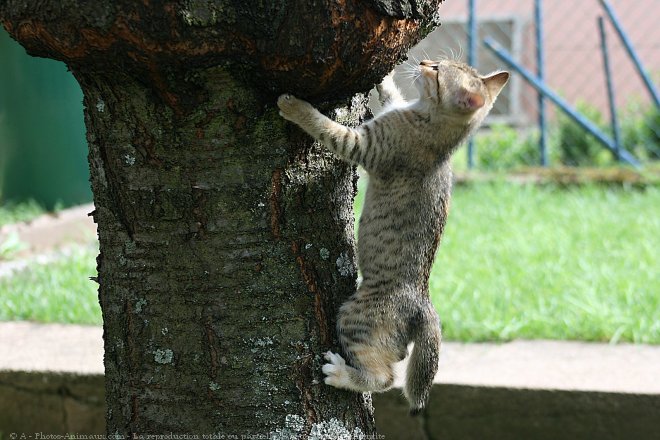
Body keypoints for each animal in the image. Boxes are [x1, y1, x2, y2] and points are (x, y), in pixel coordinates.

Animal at [276, 60, 508, 414]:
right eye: (439, 62)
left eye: (437, 71)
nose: (424, 62)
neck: (425, 120)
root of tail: (424, 307)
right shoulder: (392, 107)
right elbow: (389, 92)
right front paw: (386, 72)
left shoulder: (362, 144)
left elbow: (328, 128)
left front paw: (294, 106)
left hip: (354, 317)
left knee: (384, 378)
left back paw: (341, 374)